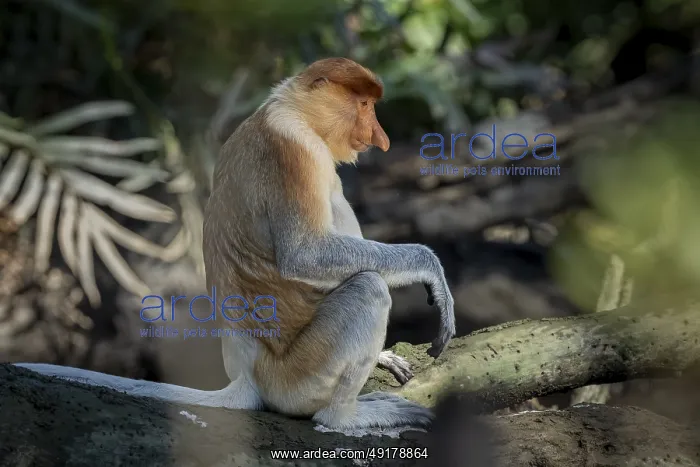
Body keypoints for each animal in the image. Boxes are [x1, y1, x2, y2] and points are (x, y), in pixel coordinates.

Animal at [14, 57, 455, 431]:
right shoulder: (294, 149)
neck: (292, 110)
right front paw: (432, 271)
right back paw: (344, 418)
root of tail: (246, 376)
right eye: (363, 104)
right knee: (368, 287)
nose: (380, 138)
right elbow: (304, 255)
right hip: (298, 376)